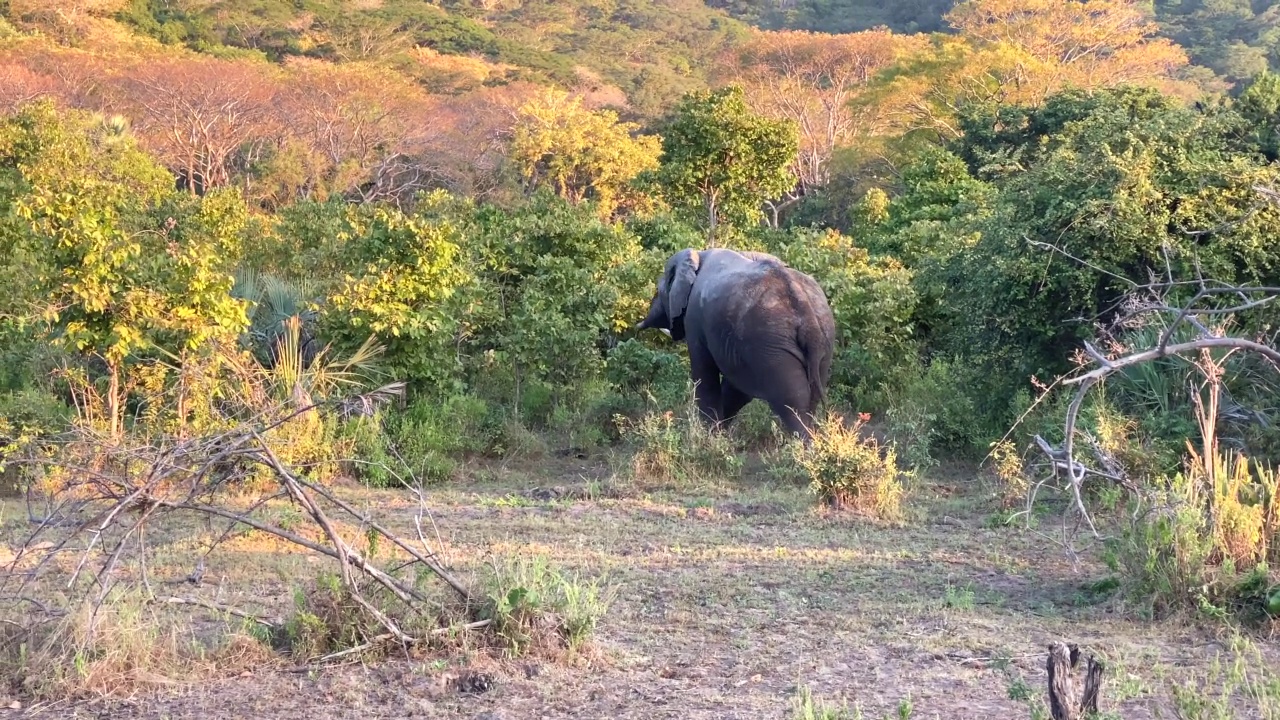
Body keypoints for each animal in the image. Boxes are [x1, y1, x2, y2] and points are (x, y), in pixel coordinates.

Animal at [632, 245, 834, 438]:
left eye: (658, 291)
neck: (697, 256)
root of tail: (804, 308)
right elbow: (737, 390)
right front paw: (720, 434)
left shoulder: (695, 320)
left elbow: (704, 374)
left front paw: (710, 438)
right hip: (820, 340)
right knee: (810, 399)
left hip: (772, 345)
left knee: (792, 403)